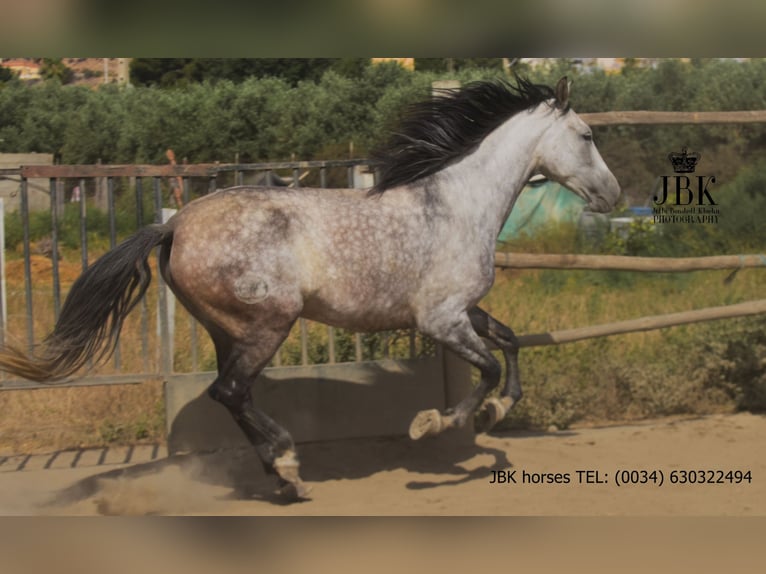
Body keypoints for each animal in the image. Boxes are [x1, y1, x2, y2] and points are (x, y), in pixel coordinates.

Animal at [0, 77, 620, 500]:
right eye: (587, 135)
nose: (613, 194)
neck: (455, 205)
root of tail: (173, 226)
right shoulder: (439, 318)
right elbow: (488, 366)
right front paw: (439, 422)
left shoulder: (463, 309)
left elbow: (509, 342)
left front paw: (495, 412)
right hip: (270, 321)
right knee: (230, 392)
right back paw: (289, 467)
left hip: (229, 330)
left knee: (233, 394)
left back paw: (283, 477)